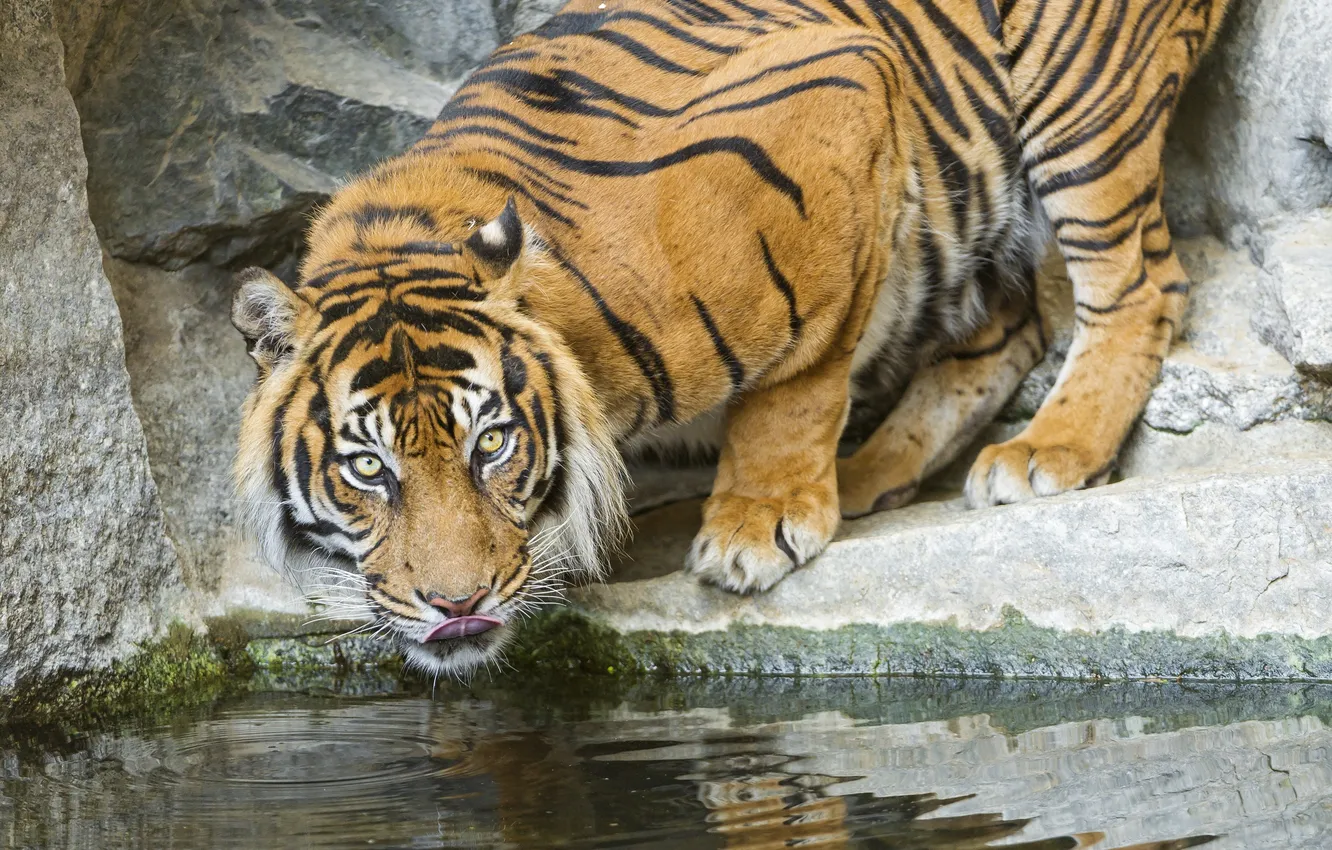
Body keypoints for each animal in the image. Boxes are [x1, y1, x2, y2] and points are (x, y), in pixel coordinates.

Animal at [232, 0, 1232, 676]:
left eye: (493, 444)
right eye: (370, 469)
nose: (457, 603)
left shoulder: (839, 95)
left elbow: (798, 381)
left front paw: (758, 525)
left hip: (1082, 109)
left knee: (1143, 285)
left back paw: (1049, 451)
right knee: (1011, 324)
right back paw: (869, 472)